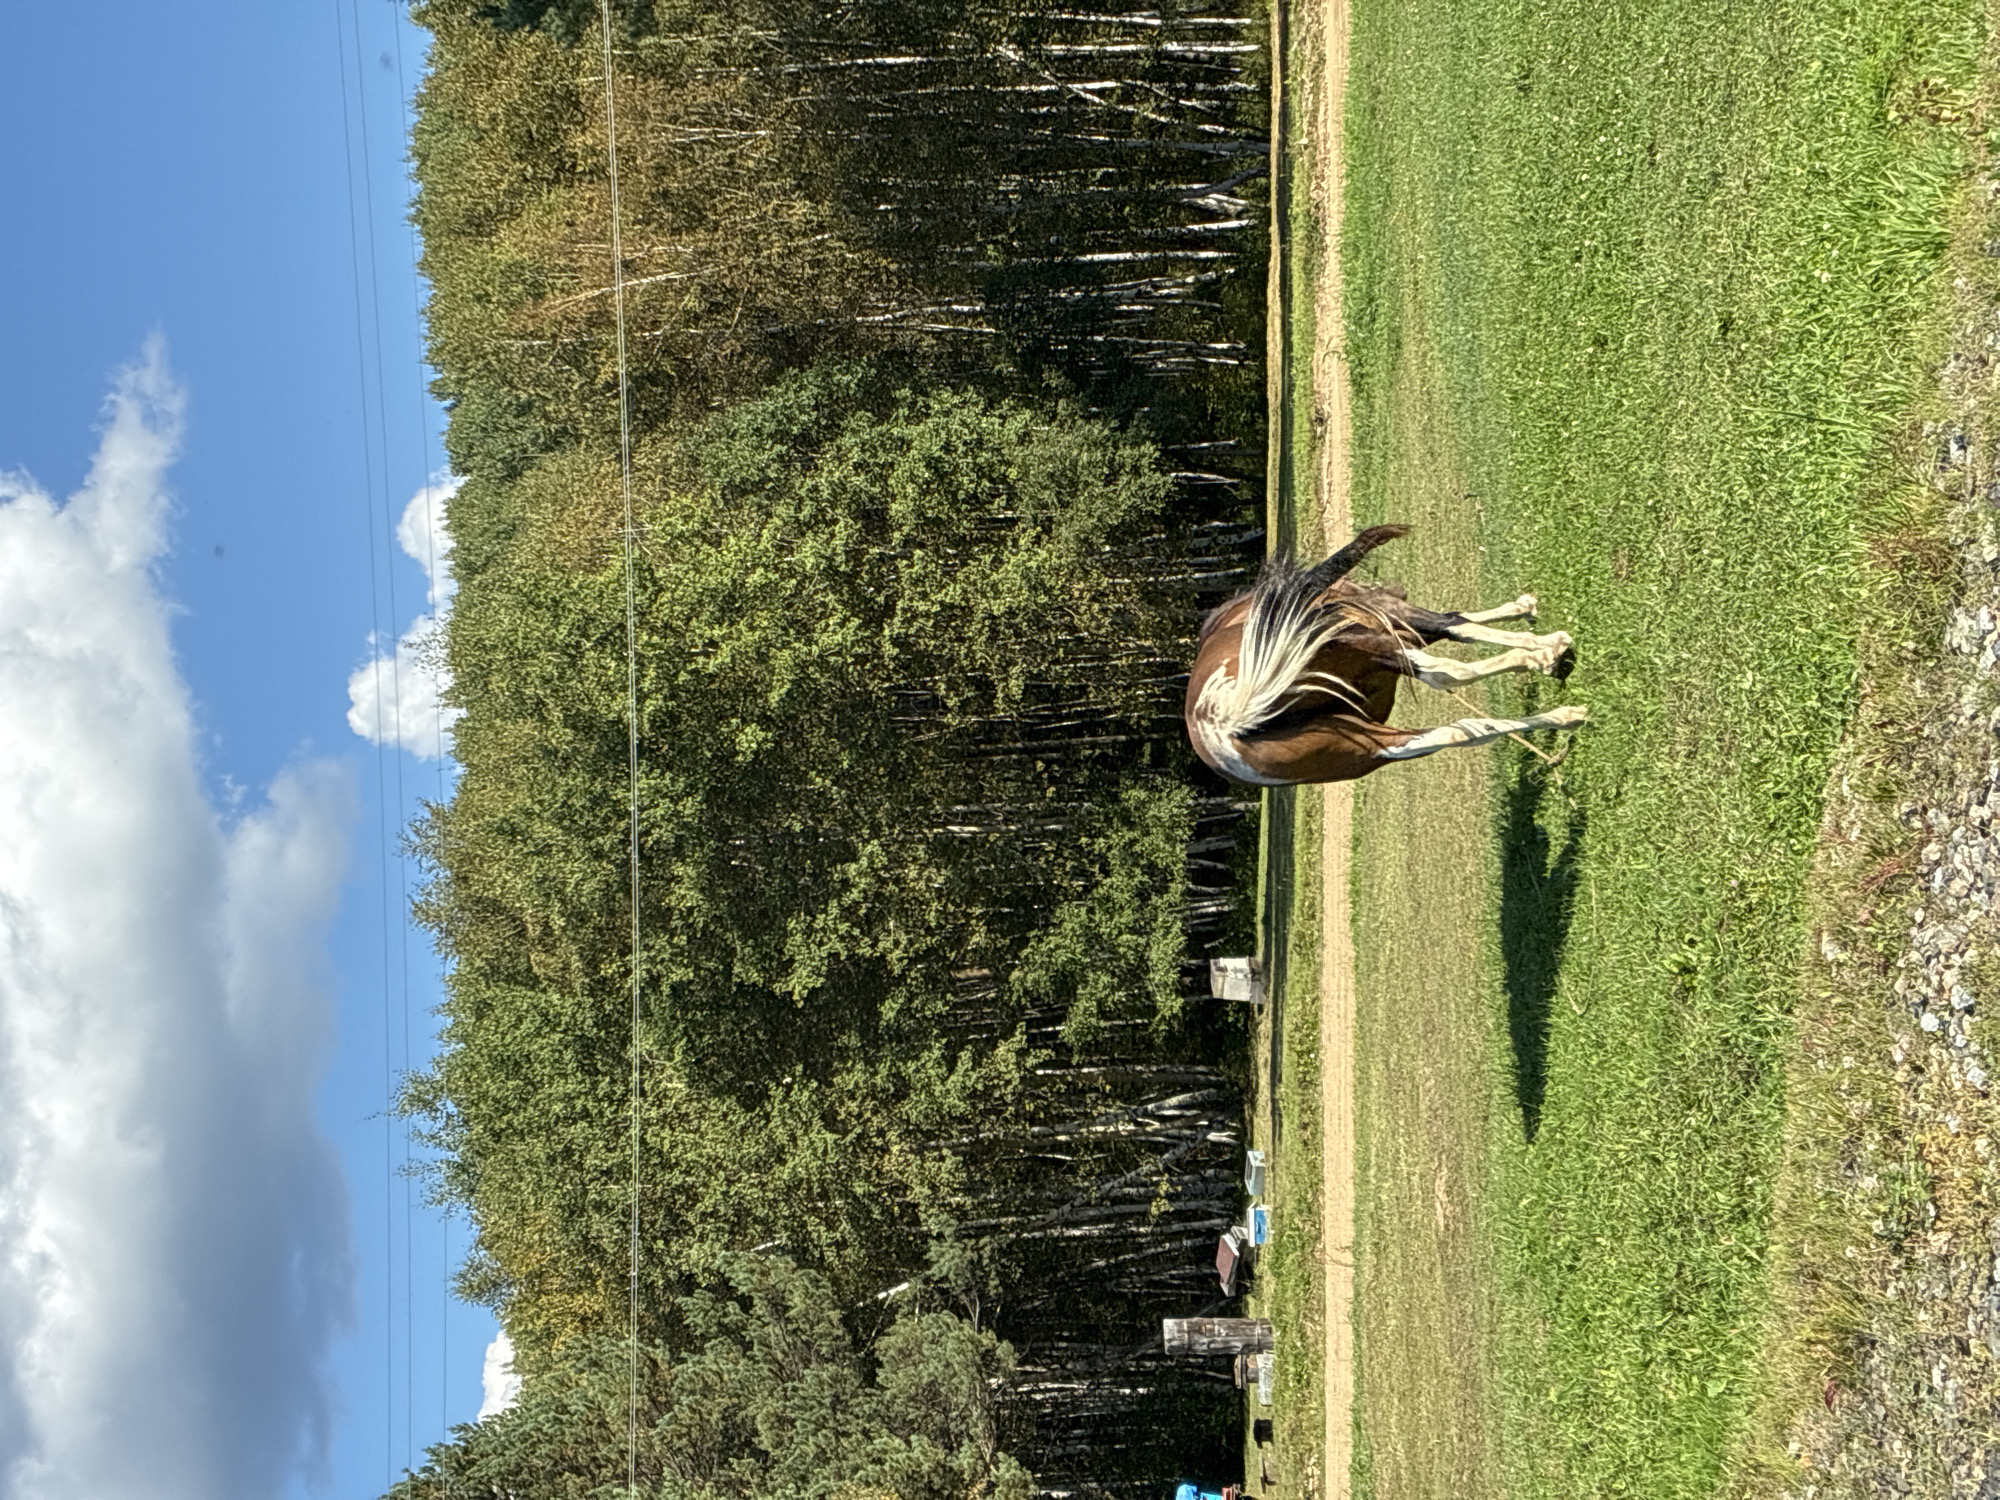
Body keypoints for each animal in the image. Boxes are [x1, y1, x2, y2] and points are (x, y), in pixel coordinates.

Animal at [1185, 525, 1587, 786]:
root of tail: (1223, 719)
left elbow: (1460, 623)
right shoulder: (1390, 622)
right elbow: (1456, 627)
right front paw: (1543, 648)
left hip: (1368, 748)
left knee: (1461, 732)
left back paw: (1564, 719)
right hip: (1374, 655)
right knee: (1448, 675)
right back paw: (1563, 705)